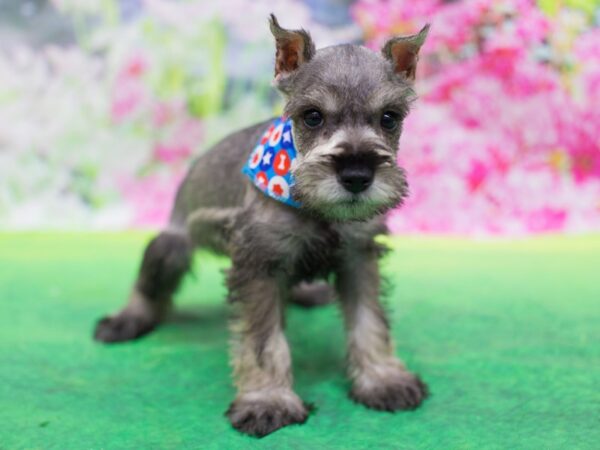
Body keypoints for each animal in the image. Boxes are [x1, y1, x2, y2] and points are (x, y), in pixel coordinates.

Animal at [94, 15, 428, 438]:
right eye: (312, 116)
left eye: (389, 118)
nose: (356, 175)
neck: (311, 204)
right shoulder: (258, 264)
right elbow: (264, 342)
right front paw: (268, 400)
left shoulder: (358, 257)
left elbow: (370, 321)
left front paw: (383, 379)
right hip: (170, 247)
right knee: (149, 284)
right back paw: (125, 321)